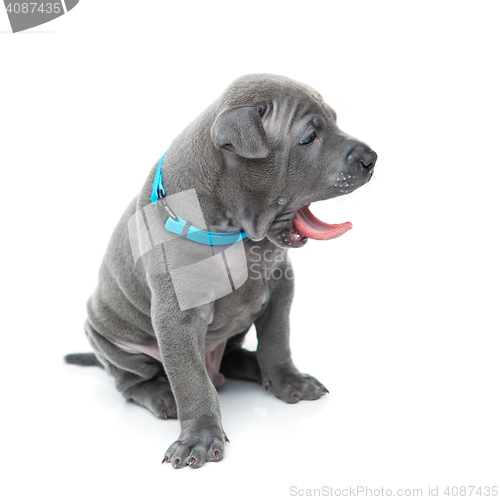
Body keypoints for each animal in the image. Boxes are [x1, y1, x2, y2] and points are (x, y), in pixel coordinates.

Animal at [67, 73, 378, 468]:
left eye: (336, 120)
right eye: (309, 137)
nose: (372, 158)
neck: (237, 228)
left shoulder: (281, 287)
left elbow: (277, 340)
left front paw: (288, 380)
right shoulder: (177, 318)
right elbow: (191, 381)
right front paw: (198, 438)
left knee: (232, 358)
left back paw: (255, 368)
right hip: (107, 336)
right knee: (133, 381)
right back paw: (160, 393)